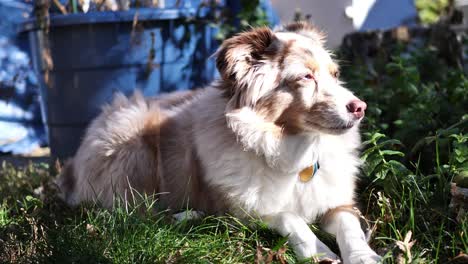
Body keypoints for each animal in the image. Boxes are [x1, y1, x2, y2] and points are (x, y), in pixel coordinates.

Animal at [56, 21, 382, 262]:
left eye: (335, 74)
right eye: (305, 77)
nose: (361, 107)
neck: (291, 148)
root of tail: (70, 167)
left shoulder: (338, 202)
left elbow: (350, 228)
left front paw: (364, 256)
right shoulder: (246, 212)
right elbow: (291, 217)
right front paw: (319, 253)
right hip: (133, 136)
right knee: (140, 216)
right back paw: (189, 216)